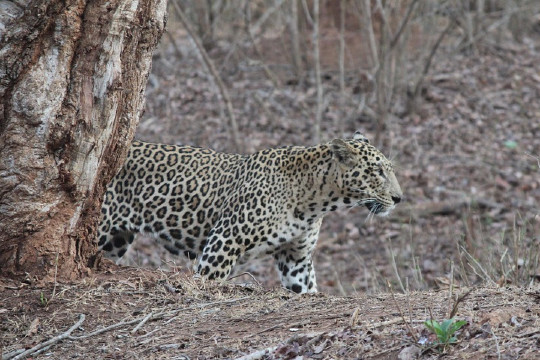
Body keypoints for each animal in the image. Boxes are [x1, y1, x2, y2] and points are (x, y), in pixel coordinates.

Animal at [96, 131, 400, 294]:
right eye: (377, 172)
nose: (399, 198)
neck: (315, 200)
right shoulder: (222, 245)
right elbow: (208, 281)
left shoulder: (296, 259)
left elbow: (307, 289)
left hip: (116, 241)